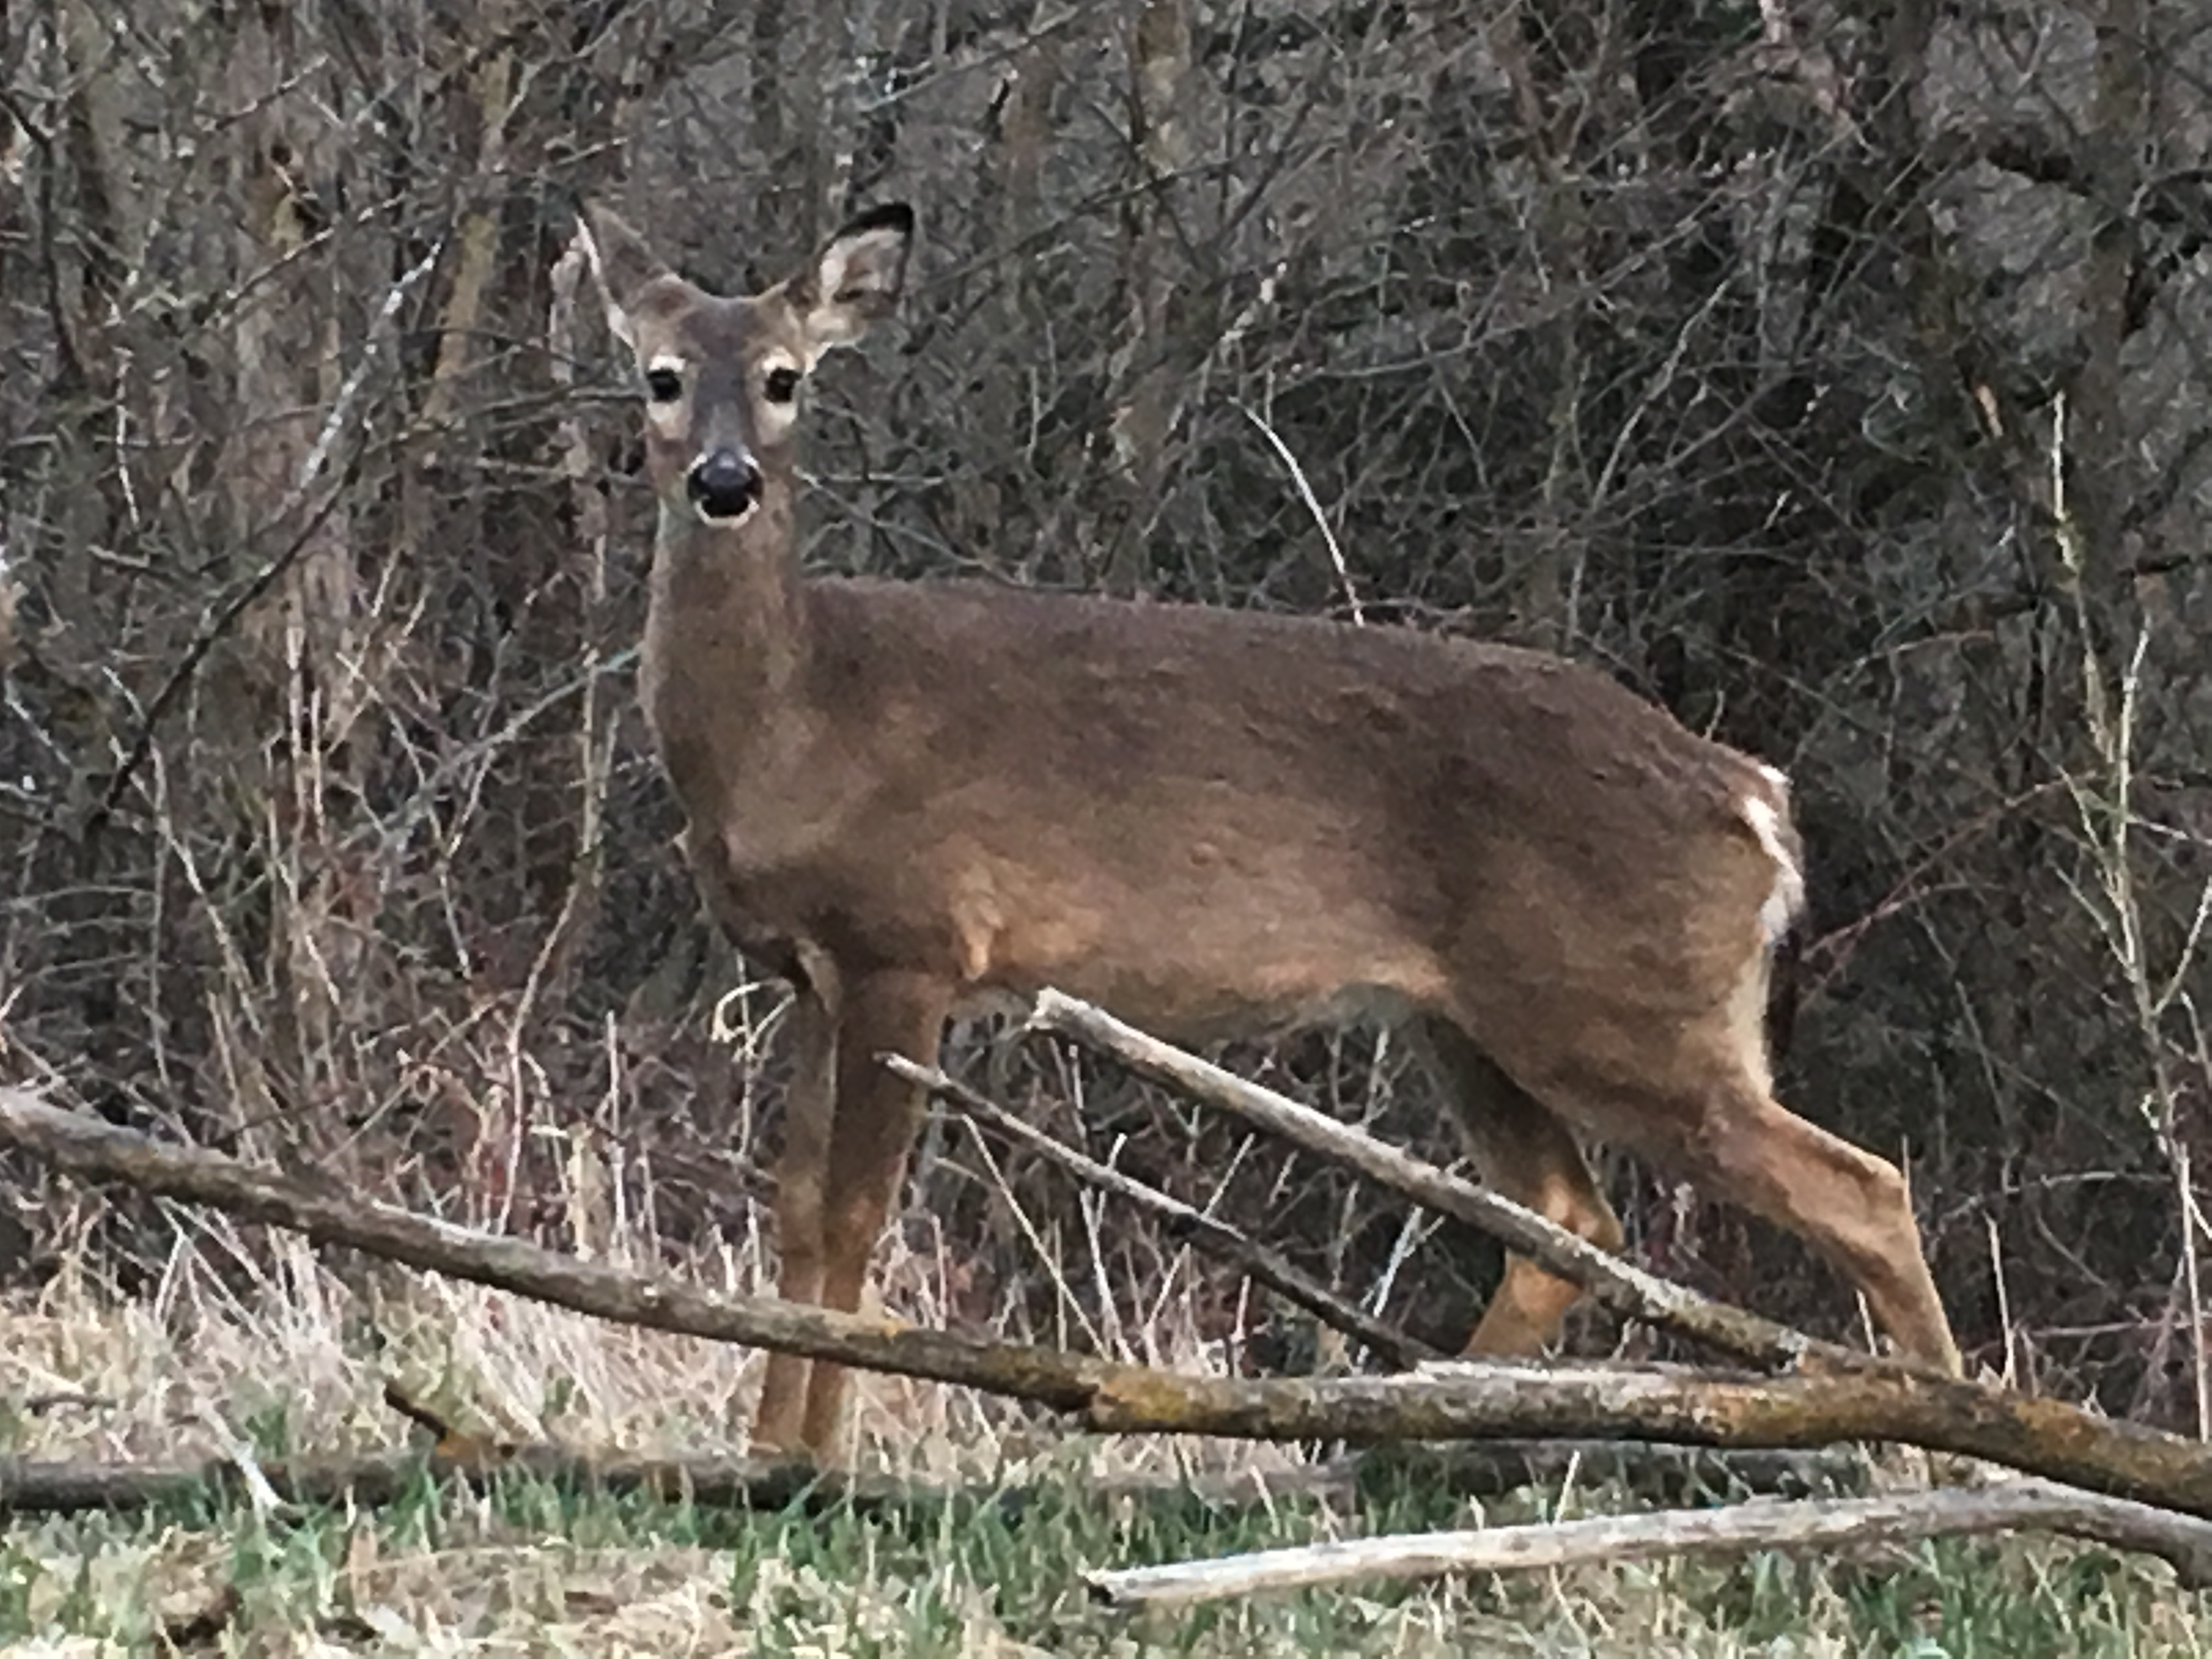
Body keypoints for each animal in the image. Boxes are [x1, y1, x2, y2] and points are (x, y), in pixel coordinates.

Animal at [580, 198, 1964, 1469]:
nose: (722, 483)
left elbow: (857, 1218)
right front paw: (764, 1455)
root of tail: (1753, 798)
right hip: (1466, 1021)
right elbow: (797, 1213)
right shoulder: (808, 973)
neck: (801, 724)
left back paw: (1956, 1456)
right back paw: (1406, 1431)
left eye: (784, 379)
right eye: (661, 376)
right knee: (1571, 1224)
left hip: (1621, 1009)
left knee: (1860, 1190)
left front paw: (813, 1464)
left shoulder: (904, 943)